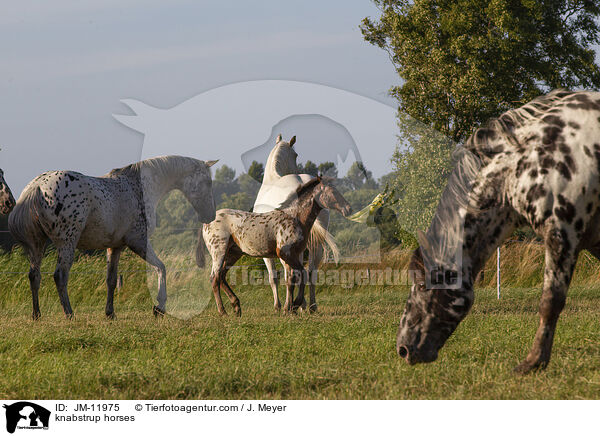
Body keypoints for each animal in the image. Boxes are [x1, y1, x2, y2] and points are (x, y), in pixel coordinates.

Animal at [8, 155, 218, 318]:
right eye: (208, 182)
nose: (210, 216)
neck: (139, 187)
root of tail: (36, 187)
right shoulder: (138, 242)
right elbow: (161, 268)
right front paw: (159, 307)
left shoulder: (115, 247)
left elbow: (111, 279)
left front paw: (110, 313)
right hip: (67, 244)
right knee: (60, 276)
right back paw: (69, 314)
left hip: (38, 245)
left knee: (34, 276)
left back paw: (37, 315)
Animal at [197, 175, 352, 316]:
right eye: (333, 191)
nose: (348, 208)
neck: (294, 217)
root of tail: (206, 223)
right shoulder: (285, 253)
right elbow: (300, 275)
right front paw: (294, 305)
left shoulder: (295, 254)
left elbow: (292, 279)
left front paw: (290, 309)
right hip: (219, 252)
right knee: (214, 278)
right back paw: (223, 312)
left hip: (233, 254)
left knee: (222, 276)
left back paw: (236, 307)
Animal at [251, 135, 340, 312]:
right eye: (296, 155)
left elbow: (273, 277)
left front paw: (278, 306)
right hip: (314, 243)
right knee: (311, 271)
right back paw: (311, 306)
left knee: (292, 274)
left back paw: (290, 306)